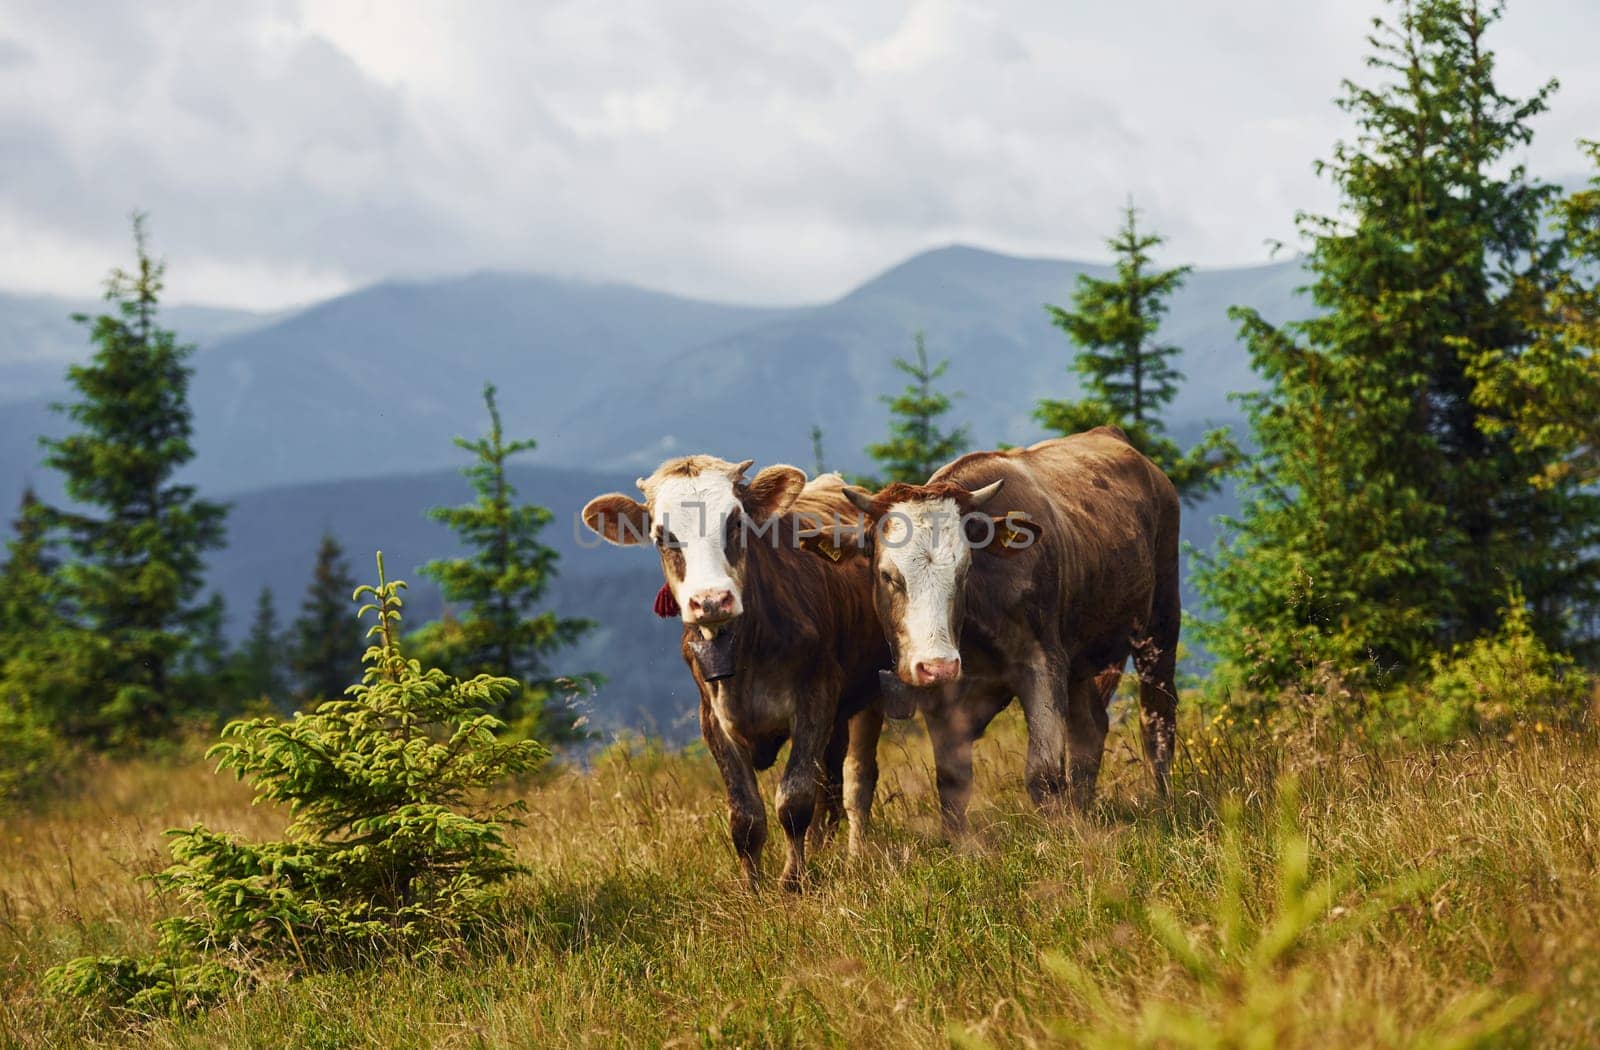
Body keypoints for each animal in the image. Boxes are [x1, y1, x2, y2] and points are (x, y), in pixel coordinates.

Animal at [585, 454, 896, 889]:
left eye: (735, 523)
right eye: (663, 536)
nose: (711, 600)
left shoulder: (816, 696)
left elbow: (795, 797)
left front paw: (793, 881)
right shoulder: (713, 717)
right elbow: (745, 815)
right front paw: (752, 886)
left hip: (872, 689)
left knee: (855, 779)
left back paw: (854, 854)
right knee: (829, 783)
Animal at [844, 428, 1184, 838]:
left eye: (964, 570)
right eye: (888, 575)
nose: (938, 665)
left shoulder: (1043, 663)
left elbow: (1043, 774)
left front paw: (1058, 838)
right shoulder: (944, 696)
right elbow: (952, 781)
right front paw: (958, 844)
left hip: (1160, 622)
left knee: (1157, 720)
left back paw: (1164, 802)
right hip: (1079, 656)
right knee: (1090, 726)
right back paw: (1084, 807)